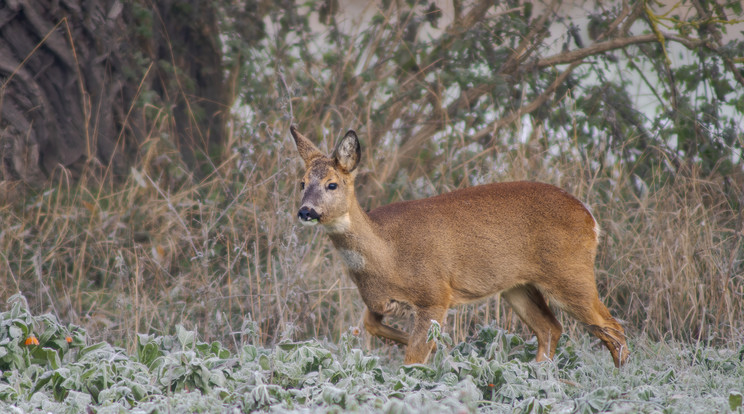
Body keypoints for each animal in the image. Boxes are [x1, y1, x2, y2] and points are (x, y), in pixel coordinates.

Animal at [290, 126, 628, 366]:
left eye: (332, 184)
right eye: (302, 182)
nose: (306, 211)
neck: (387, 254)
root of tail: (591, 220)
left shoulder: (434, 294)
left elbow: (413, 359)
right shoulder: (378, 303)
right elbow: (372, 327)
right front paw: (445, 348)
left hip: (570, 274)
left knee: (613, 328)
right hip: (517, 286)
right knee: (551, 328)